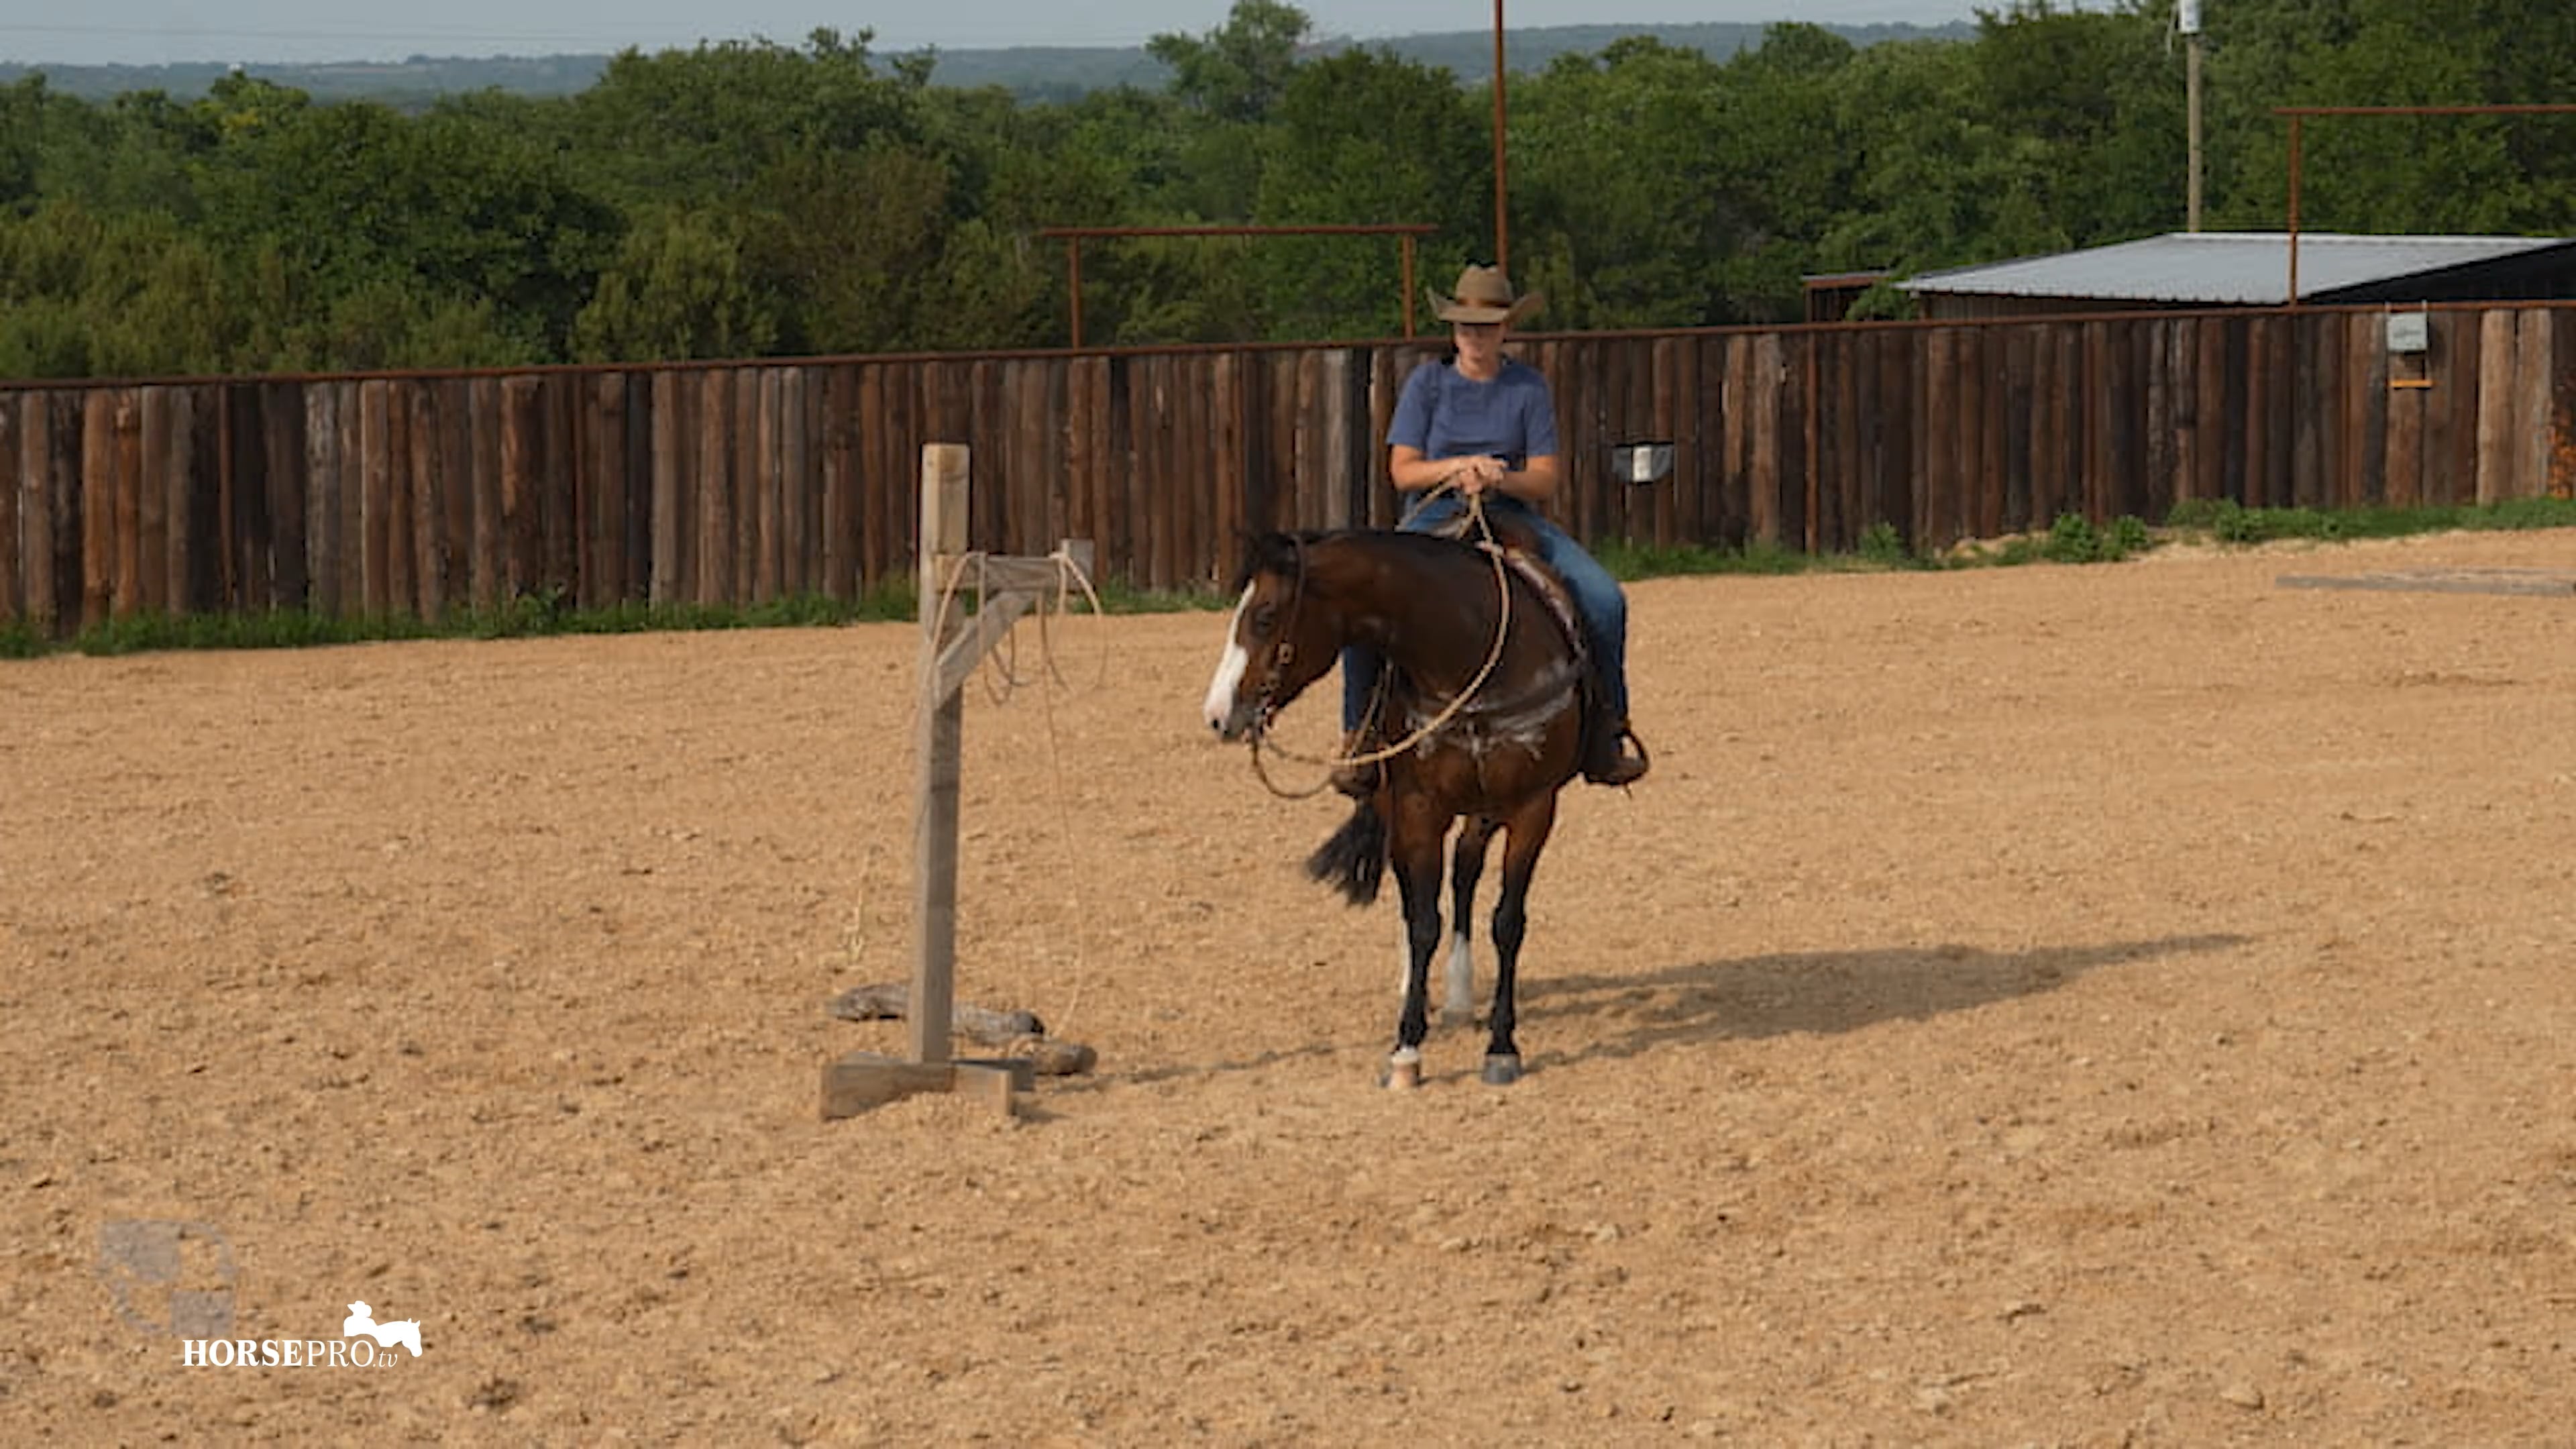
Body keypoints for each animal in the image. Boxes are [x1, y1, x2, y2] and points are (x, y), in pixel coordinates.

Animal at [1201, 524, 1588, 1088]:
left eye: (1265, 616)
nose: (1216, 714)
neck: (1467, 654)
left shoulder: (1533, 807)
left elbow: (1507, 922)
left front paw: (1502, 1047)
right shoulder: (1418, 807)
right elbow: (1422, 920)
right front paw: (1406, 1048)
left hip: (1483, 809)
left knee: (1465, 871)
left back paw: (1458, 993)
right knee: (1418, 893)